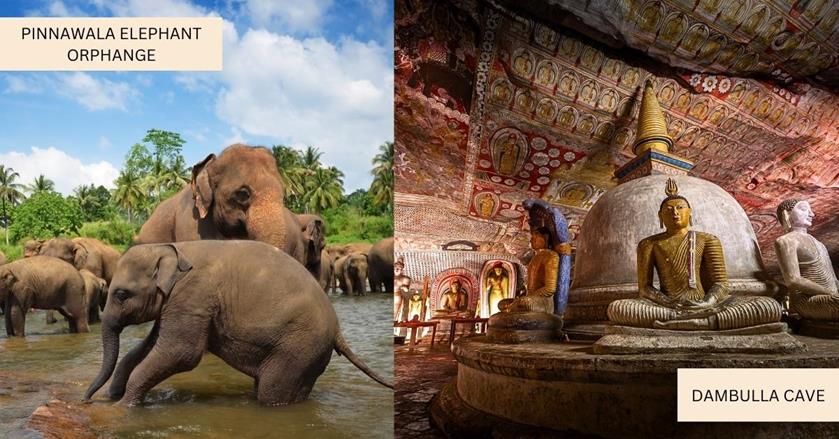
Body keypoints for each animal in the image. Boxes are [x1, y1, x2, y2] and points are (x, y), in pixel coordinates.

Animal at [83, 240, 391, 407]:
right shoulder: (177, 302)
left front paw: (123, 406)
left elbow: (181, 353)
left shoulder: (194, 295)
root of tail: (338, 330)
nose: (86, 399)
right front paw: (114, 396)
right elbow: (149, 347)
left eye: (121, 294)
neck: (175, 249)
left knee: (271, 393)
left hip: (300, 346)